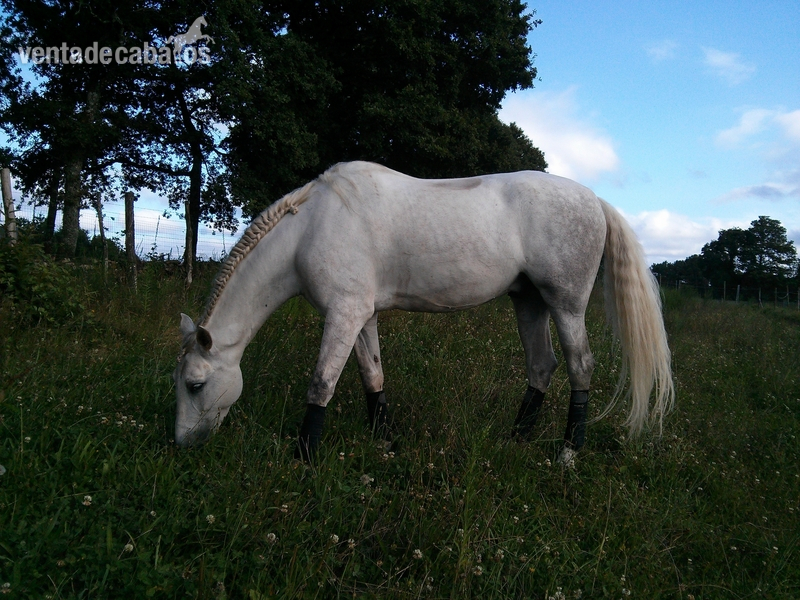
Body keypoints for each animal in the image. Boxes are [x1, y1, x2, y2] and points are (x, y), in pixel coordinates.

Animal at [173, 161, 674, 465]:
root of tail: (594, 200)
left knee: (579, 367)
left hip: (565, 304)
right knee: (541, 366)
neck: (311, 227)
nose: (181, 444)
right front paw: (385, 445)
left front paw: (304, 459)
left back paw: (567, 456)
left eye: (195, 384)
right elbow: (372, 377)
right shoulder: (361, 315)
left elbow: (321, 385)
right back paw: (516, 440)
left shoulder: (343, 314)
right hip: (529, 302)